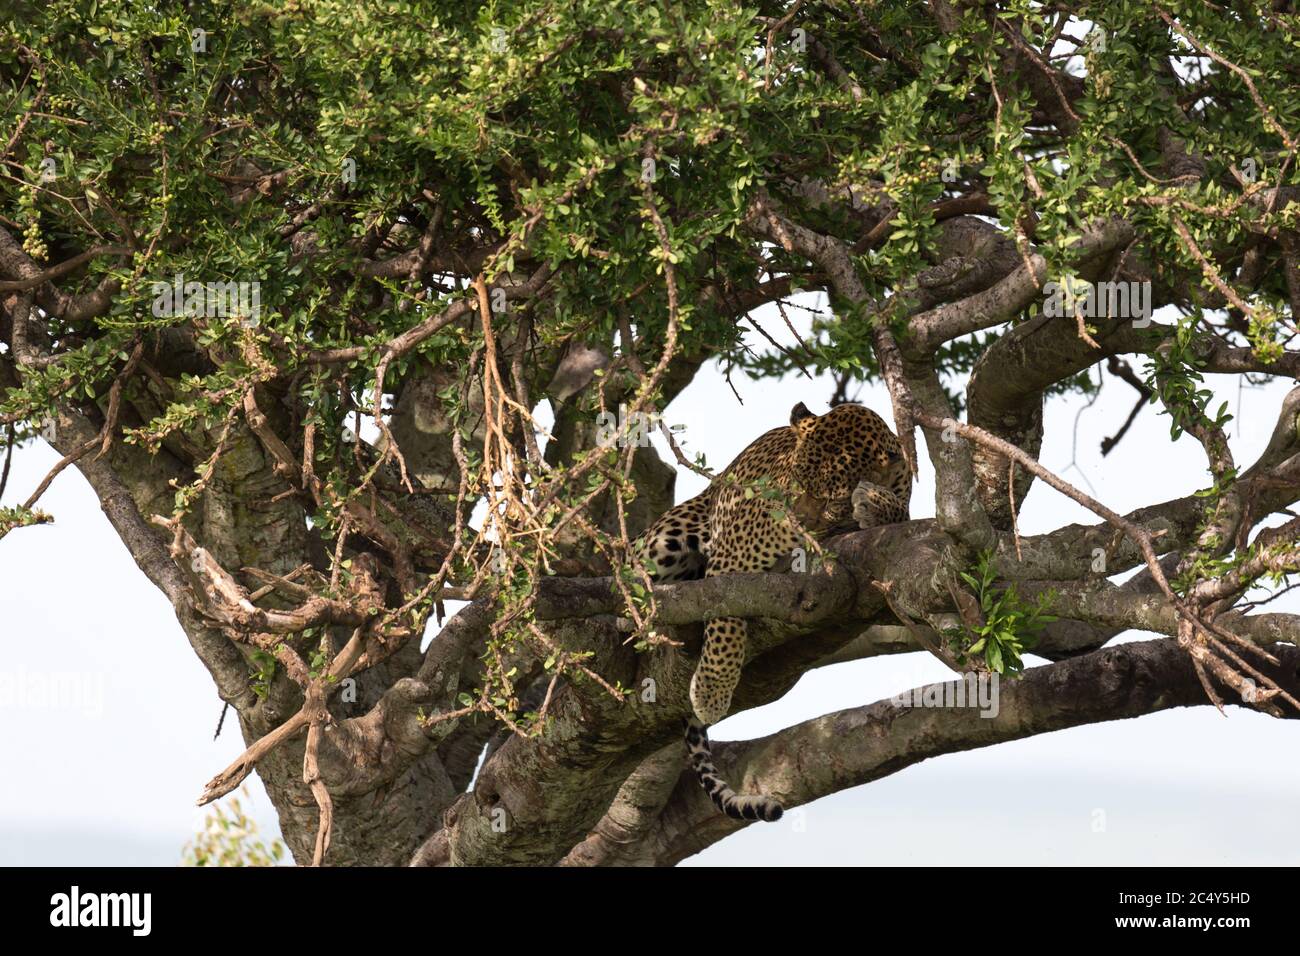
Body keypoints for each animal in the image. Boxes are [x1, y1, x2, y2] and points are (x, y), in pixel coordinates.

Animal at [635, 401, 911, 822]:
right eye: (793, 480)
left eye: (832, 498)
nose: (793, 522)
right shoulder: (730, 559)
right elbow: (726, 623)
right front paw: (712, 691)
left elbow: (897, 514)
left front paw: (875, 502)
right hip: (663, 541)